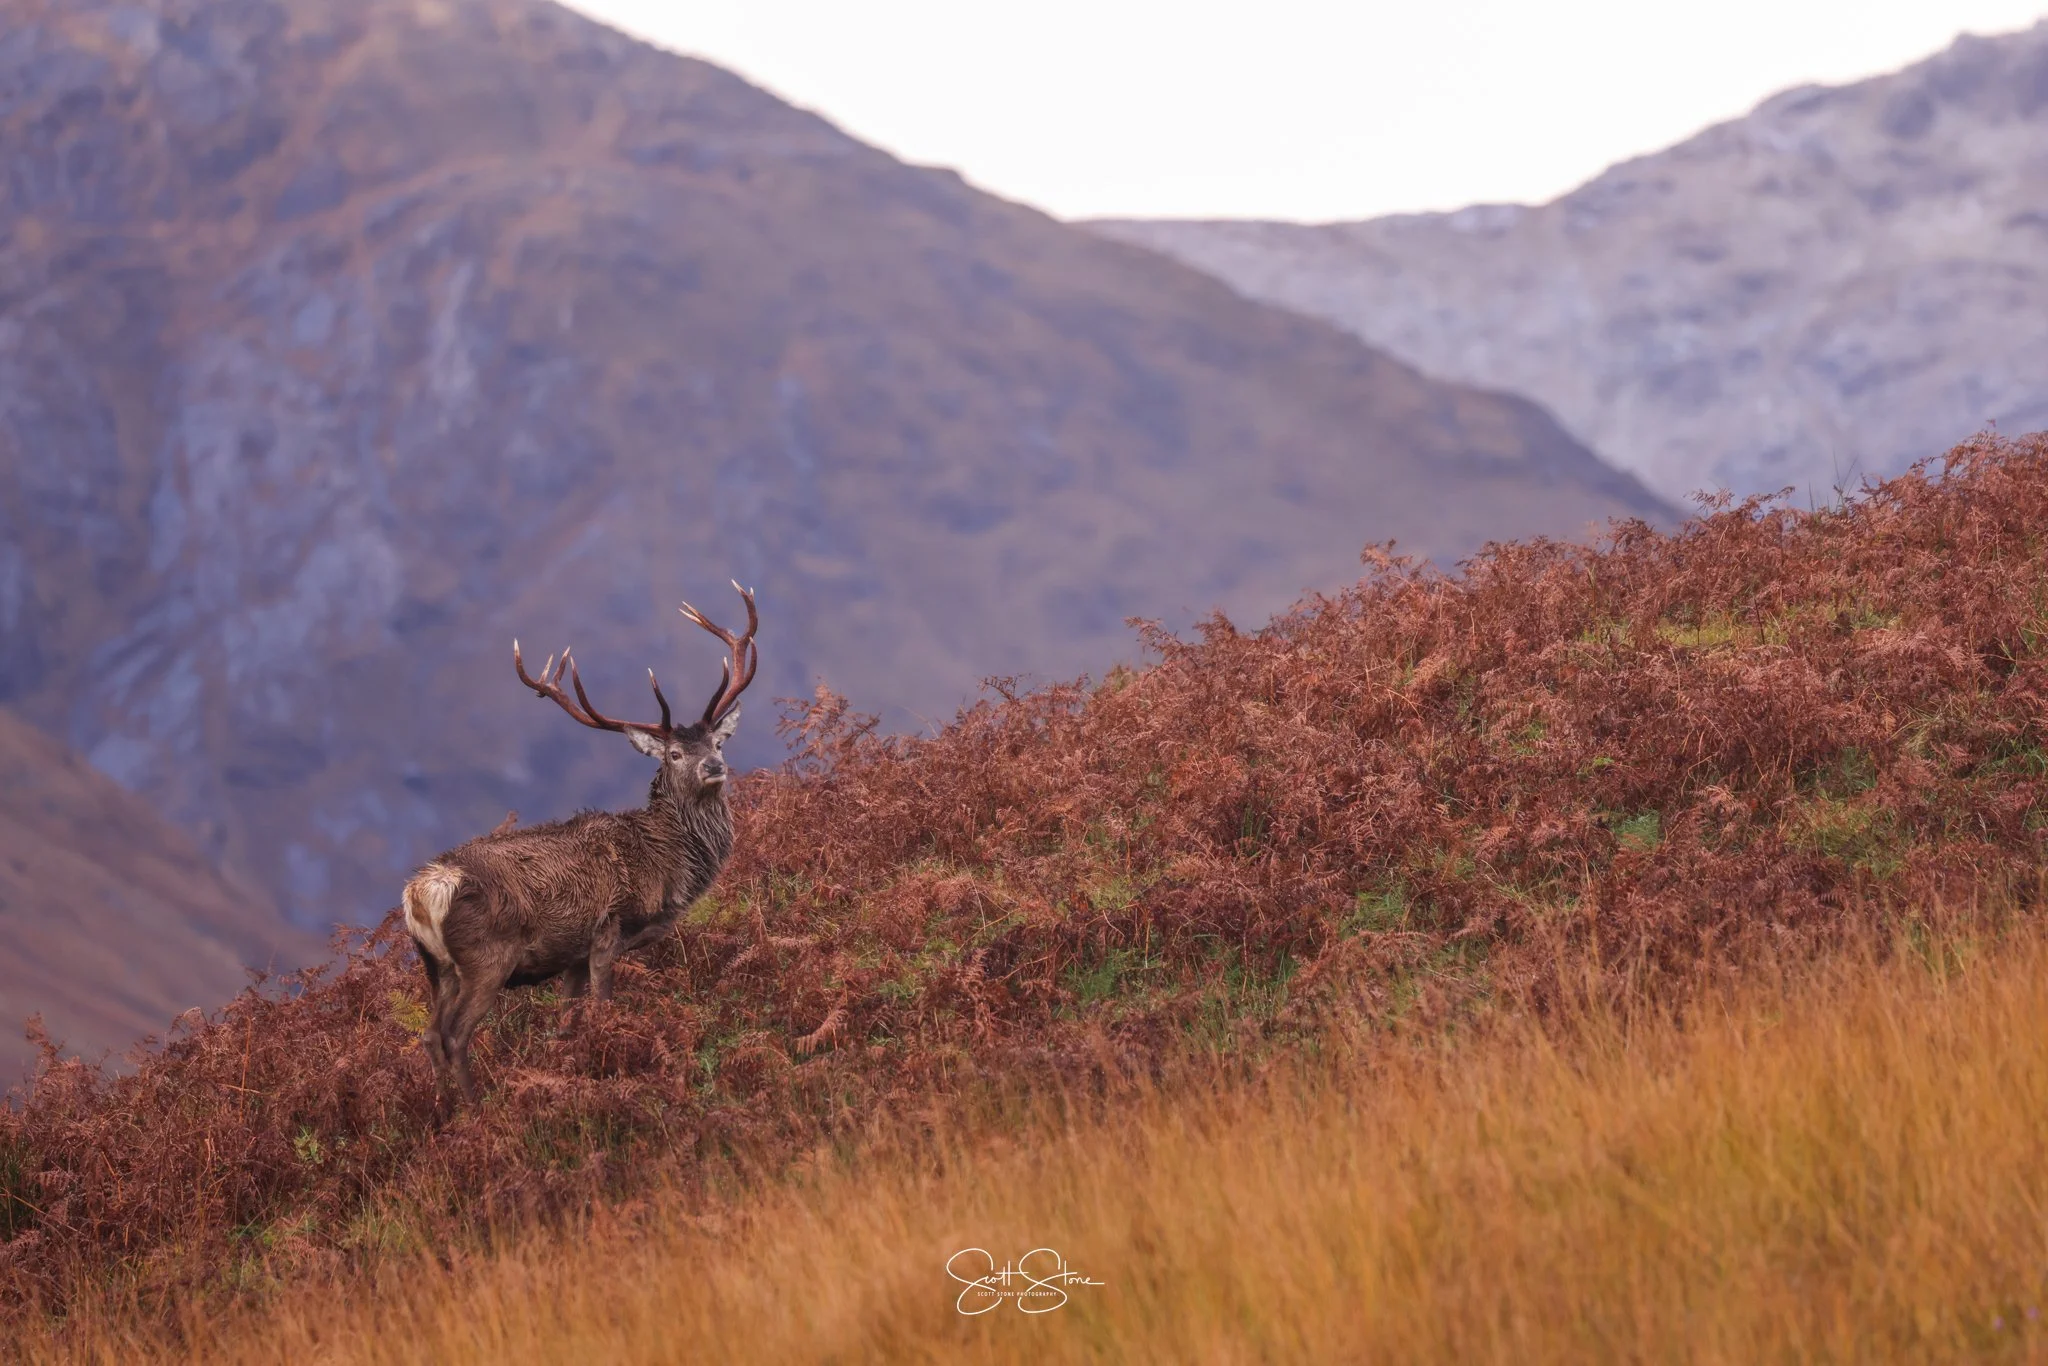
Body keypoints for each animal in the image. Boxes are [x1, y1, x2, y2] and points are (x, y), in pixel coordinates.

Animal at [401, 583, 758, 1112]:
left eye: (719, 743)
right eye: (675, 753)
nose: (714, 768)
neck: (664, 865)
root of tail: (422, 892)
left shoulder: (570, 955)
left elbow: (565, 1023)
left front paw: (566, 1071)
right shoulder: (608, 929)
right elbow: (602, 1008)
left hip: (435, 965)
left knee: (427, 1034)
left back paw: (445, 1110)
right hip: (486, 958)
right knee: (455, 1035)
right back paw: (476, 1111)